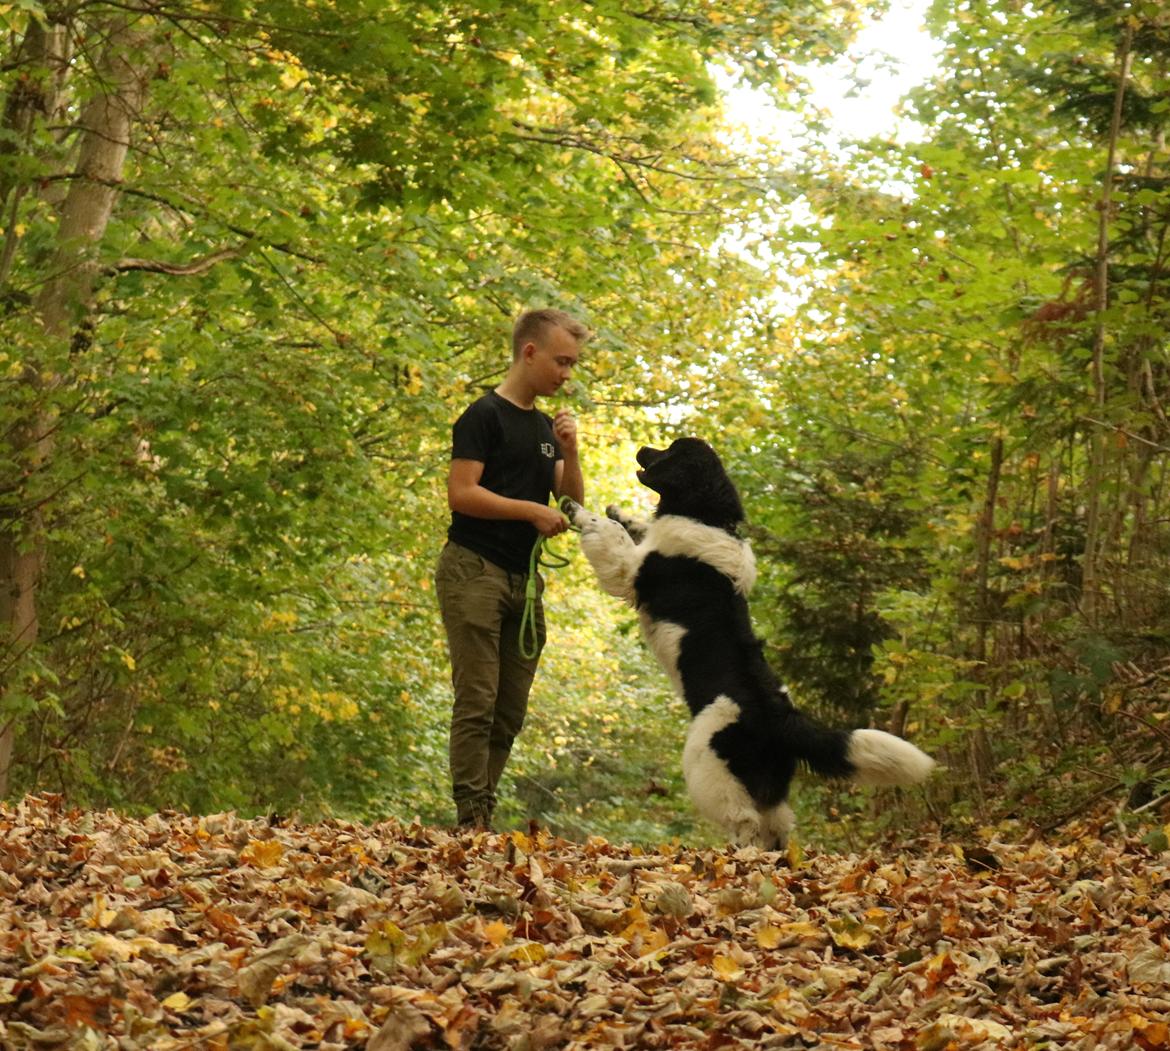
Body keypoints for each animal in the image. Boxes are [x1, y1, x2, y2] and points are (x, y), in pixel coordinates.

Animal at [563, 437, 931, 847]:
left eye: (671, 450)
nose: (643, 448)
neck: (709, 518)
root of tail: (783, 718)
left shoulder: (631, 570)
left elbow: (610, 534)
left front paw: (579, 509)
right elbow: (636, 526)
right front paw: (621, 511)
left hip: (709, 760)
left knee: (744, 819)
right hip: (769, 784)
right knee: (778, 823)